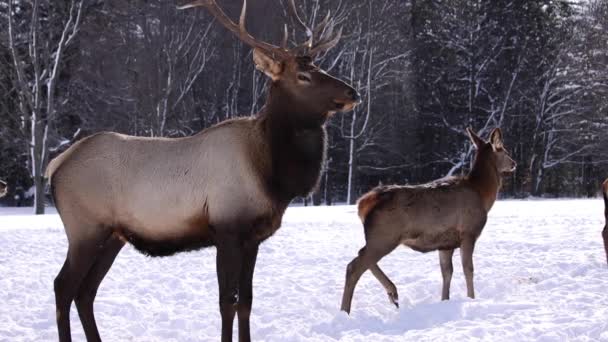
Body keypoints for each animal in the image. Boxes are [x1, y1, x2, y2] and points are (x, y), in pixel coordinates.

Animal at [48, 1, 360, 340]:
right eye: (303, 75)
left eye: (321, 67)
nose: (352, 92)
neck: (271, 176)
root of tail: (57, 164)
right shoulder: (227, 229)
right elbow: (227, 302)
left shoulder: (253, 238)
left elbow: (246, 302)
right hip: (85, 228)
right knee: (63, 286)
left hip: (112, 235)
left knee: (85, 292)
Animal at [340, 127, 516, 314]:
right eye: (504, 150)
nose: (514, 163)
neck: (483, 194)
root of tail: (362, 204)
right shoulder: (469, 232)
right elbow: (468, 269)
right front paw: (471, 298)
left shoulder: (446, 243)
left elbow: (447, 272)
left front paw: (445, 299)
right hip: (385, 235)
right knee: (354, 266)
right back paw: (346, 310)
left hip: (380, 237)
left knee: (361, 255)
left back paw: (393, 293)